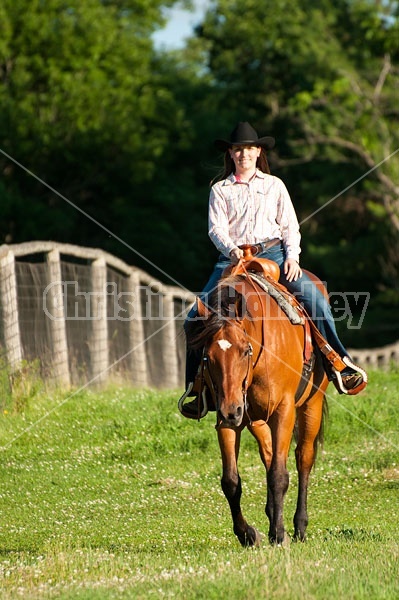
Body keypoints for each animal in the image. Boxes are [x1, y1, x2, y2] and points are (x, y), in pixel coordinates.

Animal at [186, 260, 330, 548]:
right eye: (207, 356)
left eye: (245, 350)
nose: (232, 411)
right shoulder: (227, 420)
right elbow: (231, 481)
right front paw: (248, 534)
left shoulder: (283, 412)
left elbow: (278, 476)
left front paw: (277, 533)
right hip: (256, 420)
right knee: (269, 454)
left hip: (312, 405)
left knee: (303, 458)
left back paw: (299, 526)